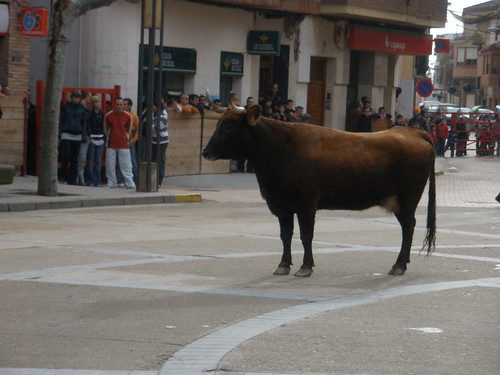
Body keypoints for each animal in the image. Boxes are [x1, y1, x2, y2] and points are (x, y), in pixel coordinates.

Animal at [201, 94, 436, 276]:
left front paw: (306, 266)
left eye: (228, 125)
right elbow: (285, 235)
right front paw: (283, 264)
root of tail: (412, 131)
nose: (205, 151)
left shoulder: (306, 203)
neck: (280, 148)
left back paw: (399, 265)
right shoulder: (282, 205)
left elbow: (306, 235)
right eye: (218, 123)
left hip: (408, 198)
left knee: (409, 227)